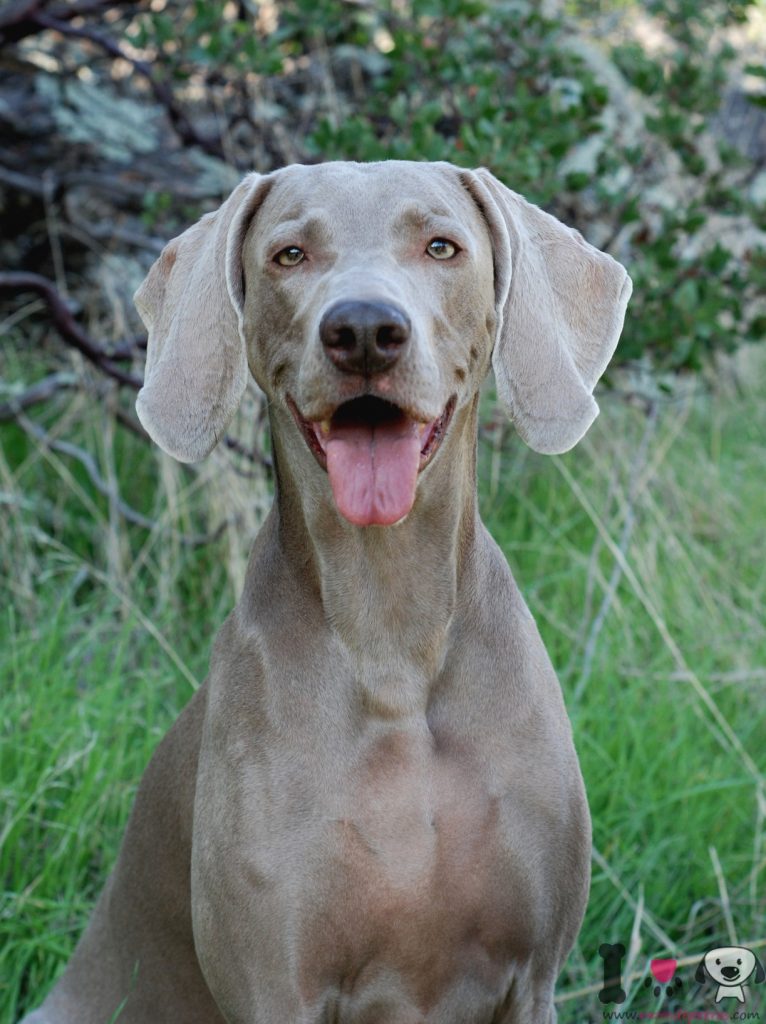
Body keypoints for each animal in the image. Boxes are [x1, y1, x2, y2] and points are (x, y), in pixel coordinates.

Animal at [23, 159, 630, 1024]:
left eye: (441, 246)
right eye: (290, 255)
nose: (365, 329)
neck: (391, 637)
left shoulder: (533, 977)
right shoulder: (278, 982)